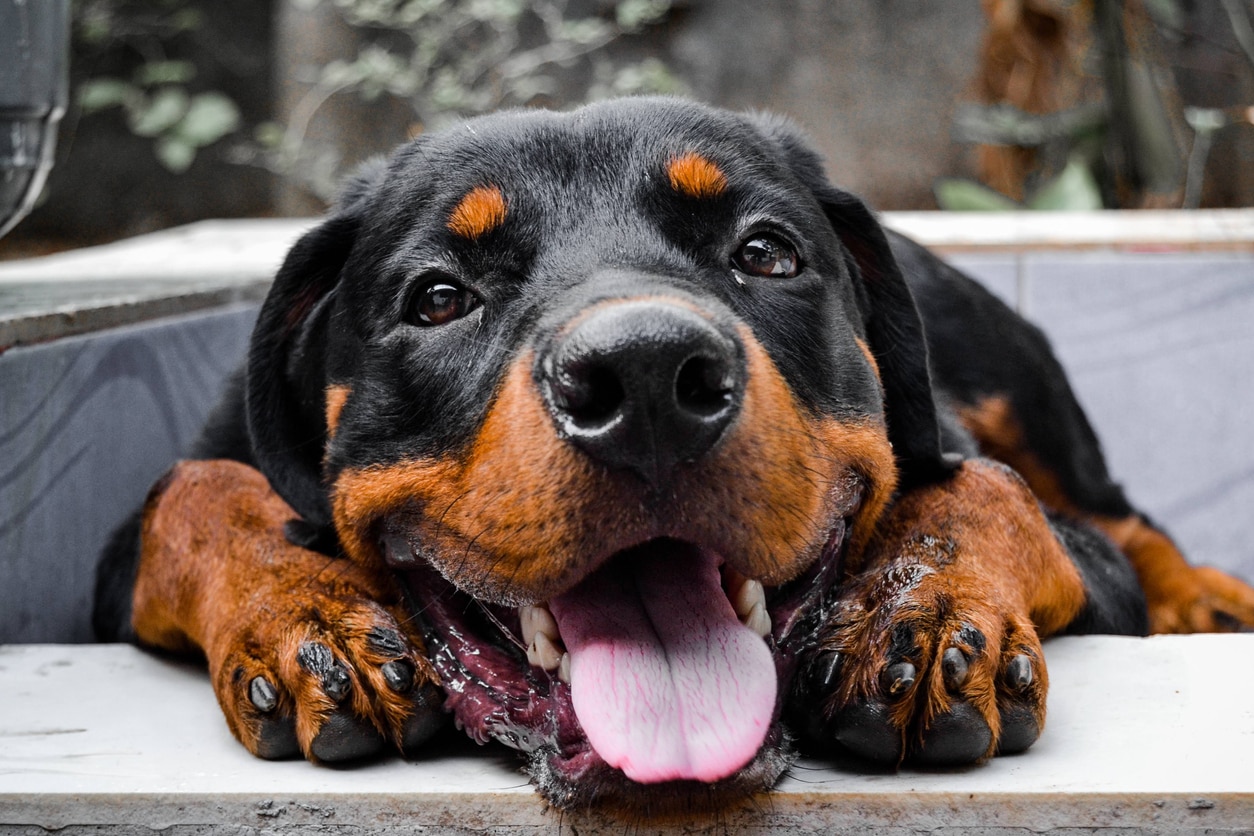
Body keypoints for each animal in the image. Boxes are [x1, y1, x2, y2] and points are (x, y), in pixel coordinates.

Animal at [92, 96, 1254, 812]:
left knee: (1120, 507)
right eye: (438, 297)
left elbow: (990, 489)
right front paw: (307, 609)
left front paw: (922, 609)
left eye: (766, 253)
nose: (646, 375)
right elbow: (192, 489)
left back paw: (1209, 594)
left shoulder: (1060, 534)